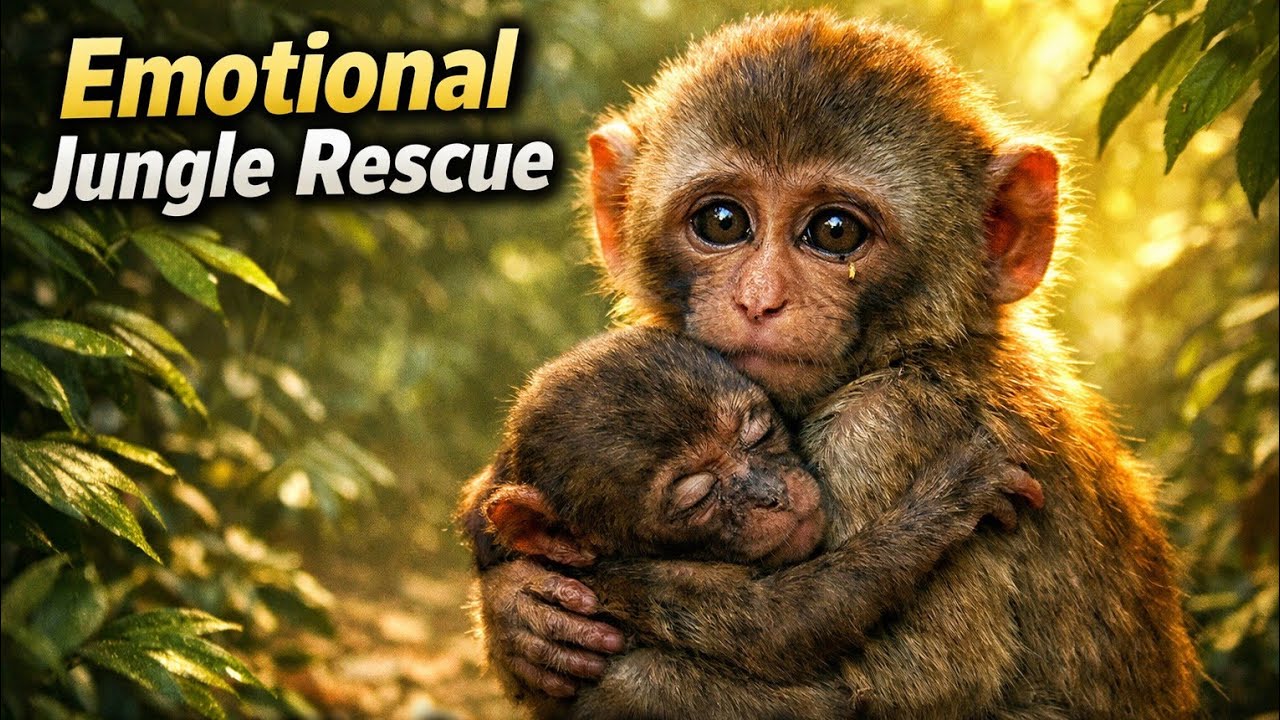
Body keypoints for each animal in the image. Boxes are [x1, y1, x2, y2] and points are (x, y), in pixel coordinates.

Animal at [461, 325, 1044, 719]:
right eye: (697, 496)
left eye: (758, 433)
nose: (769, 494)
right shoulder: (641, 579)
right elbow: (783, 622)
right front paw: (954, 492)